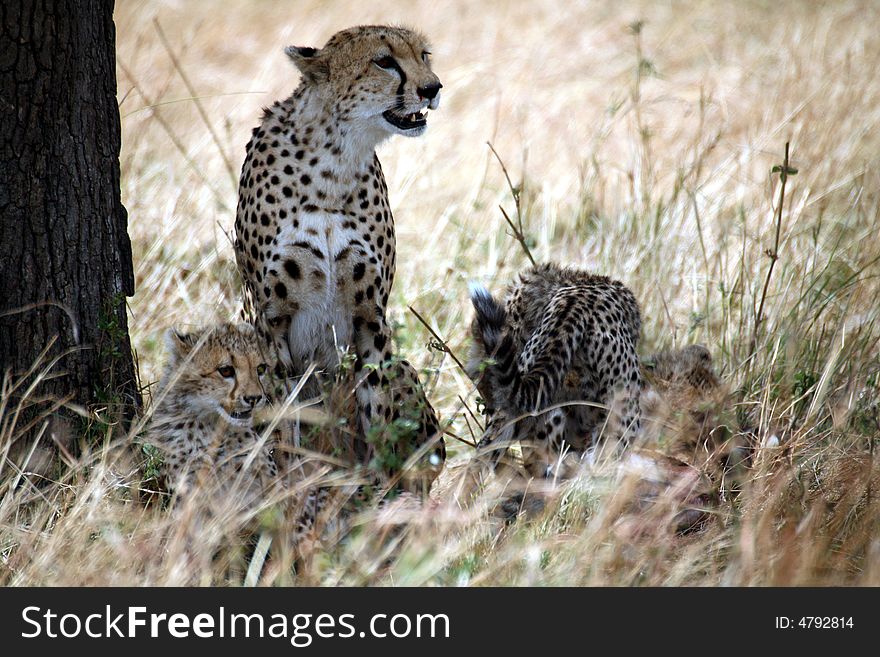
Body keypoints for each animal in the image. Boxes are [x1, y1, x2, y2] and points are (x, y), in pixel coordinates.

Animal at [232, 24, 444, 486]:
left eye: (424, 55)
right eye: (384, 61)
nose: (433, 87)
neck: (334, 162)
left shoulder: (371, 316)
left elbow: (377, 409)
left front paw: (379, 491)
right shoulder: (272, 321)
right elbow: (283, 415)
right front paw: (289, 486)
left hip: (402, 366)